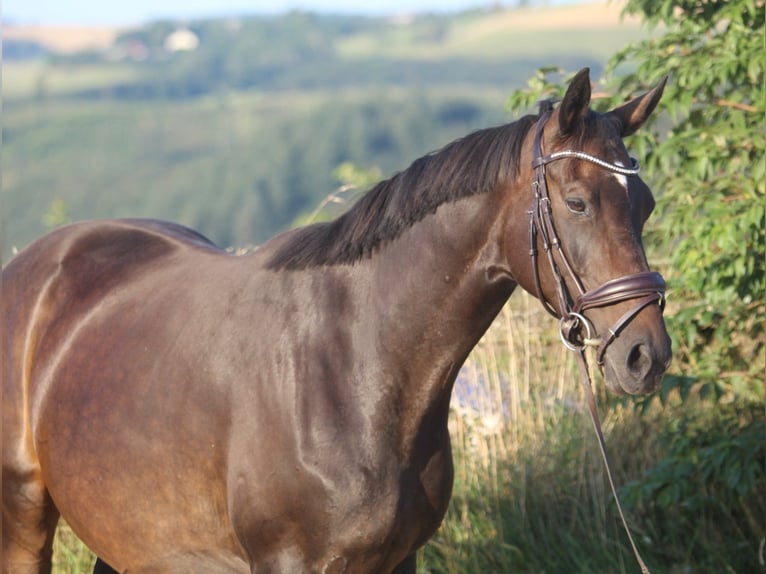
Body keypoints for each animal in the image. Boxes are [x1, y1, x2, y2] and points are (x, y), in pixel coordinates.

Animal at [1, 70, 672, 572]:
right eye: (577, 203)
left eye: (644, 205)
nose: (646, 354)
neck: (356, 364)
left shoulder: (398, 561)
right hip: (23, 513)